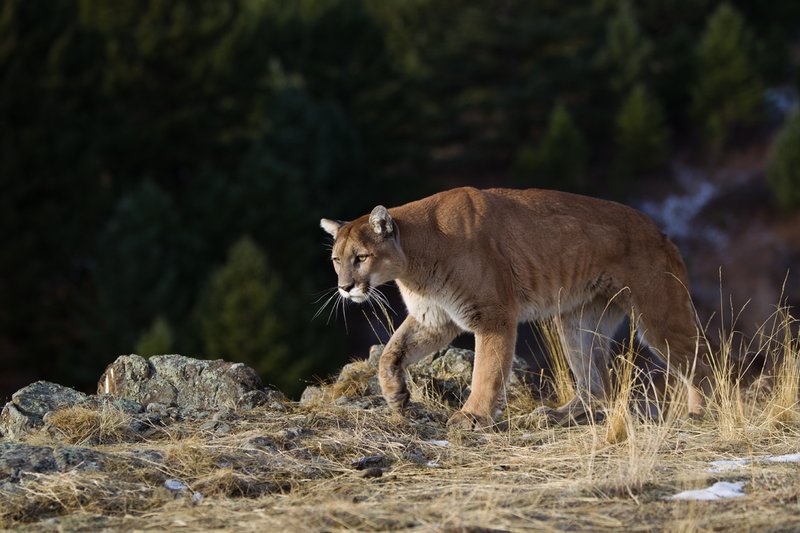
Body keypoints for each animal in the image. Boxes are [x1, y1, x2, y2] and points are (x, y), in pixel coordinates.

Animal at [320, 187, 714, 428]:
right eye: (336, 260)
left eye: (361, 257)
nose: (345, 287)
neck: (416, 260)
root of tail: (661, 233)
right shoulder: (435, 318)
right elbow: (390, 354)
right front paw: (398, 399)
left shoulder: (493, 315)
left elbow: (486, 370)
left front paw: (472, 417)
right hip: (577, 322)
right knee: (596, 384)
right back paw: (554, 416)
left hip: (657, 315)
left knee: (702, 362)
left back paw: (698, 413)